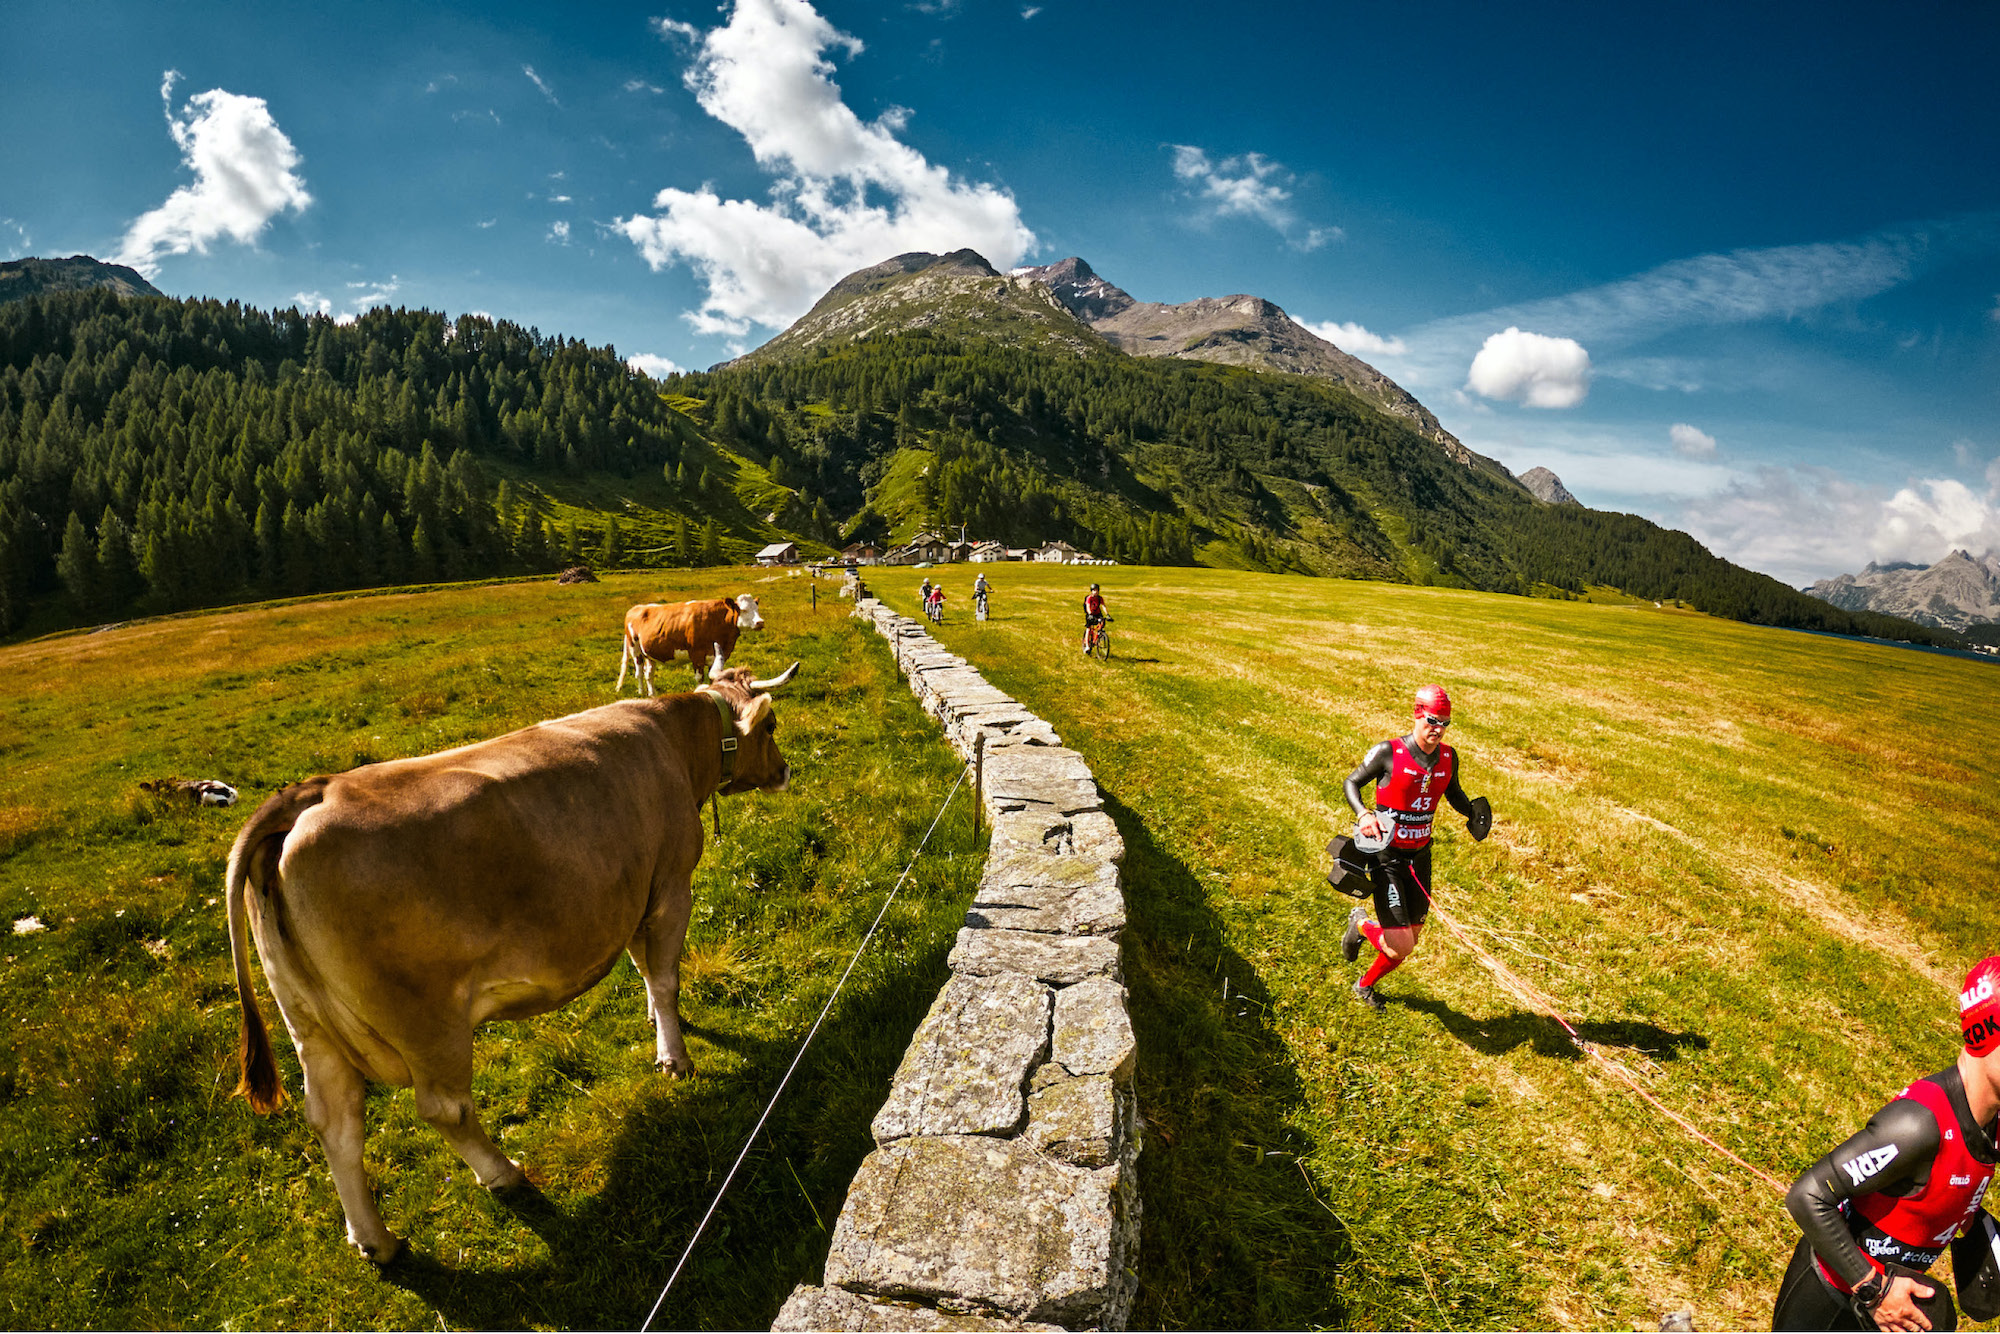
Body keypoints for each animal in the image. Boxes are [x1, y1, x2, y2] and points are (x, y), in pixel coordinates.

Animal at [225, 664, 796, 1272]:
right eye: (772, 727)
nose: (786, 770)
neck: (675, 740)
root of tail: (314, 790)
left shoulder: (634, 897)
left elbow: (646, 969)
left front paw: (655, 1022)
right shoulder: (668, 887)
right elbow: (664, 977)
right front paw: (674, 1056)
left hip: (308, 1022)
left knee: (336, 1124)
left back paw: (375, 1239)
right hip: (426, 1022)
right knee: (444, 1108)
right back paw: (502, 1174)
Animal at [612, 596, 760, 700]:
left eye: (756, 609)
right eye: (743, 610)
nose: (760, 622)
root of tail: (636, 608)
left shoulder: (715, 656)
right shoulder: (697, 655)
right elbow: (699, 679)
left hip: (649, 653)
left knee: (649, 673)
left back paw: (652, 694)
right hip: (635, 648)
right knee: (639, 672)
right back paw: (641, 693)